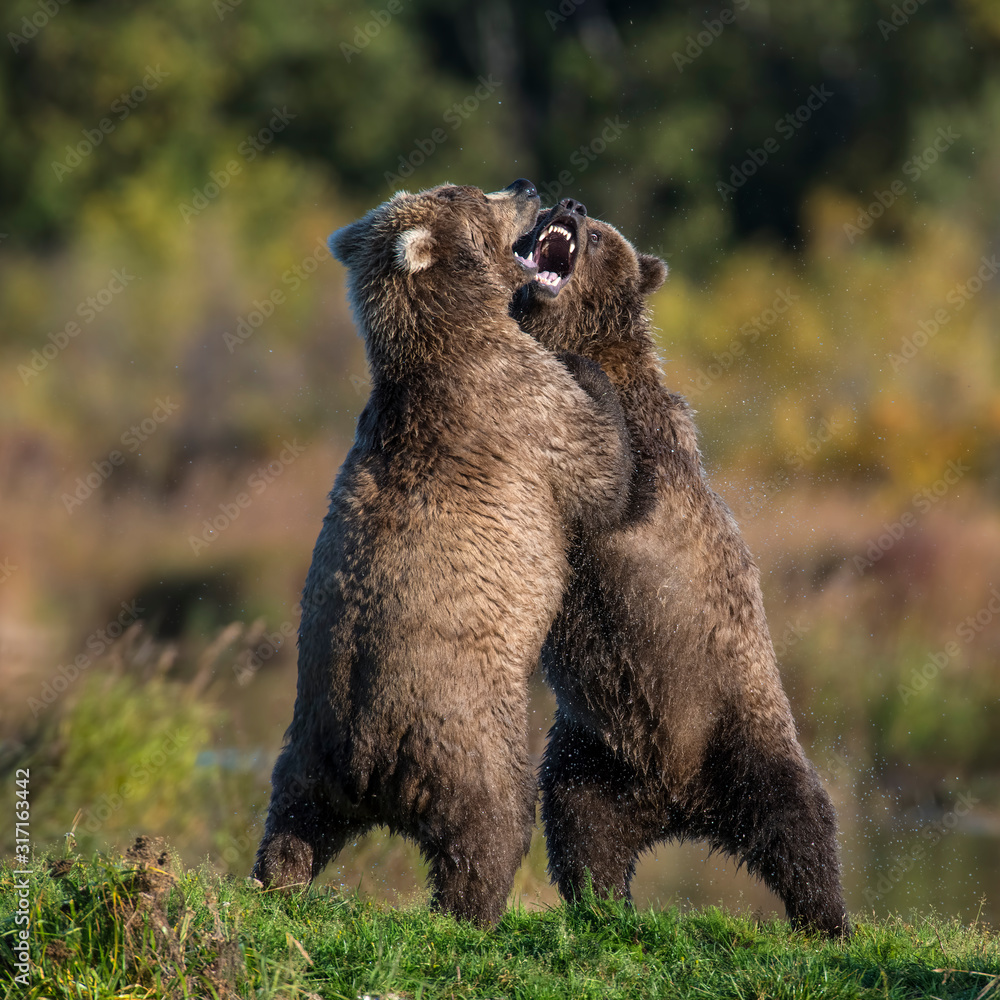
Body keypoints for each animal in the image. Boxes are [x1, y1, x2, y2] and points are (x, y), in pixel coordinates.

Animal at [252, 180, 638, 927]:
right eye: (472, 195)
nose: (528, 185)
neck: (448, 336)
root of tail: (368, 756)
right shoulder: (524, 406)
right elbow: (601, 466)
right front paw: (594, 371)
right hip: (467, 736)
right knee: (491, 829)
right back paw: (477, 911)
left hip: (309, 745)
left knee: (292, 824)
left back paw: (275, 882)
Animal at [510, 198, 850, 937]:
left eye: (599, 235)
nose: (569, 204)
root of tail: (680, 802)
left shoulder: (649, 450)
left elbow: (614, 490)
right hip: (595, 755)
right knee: (582, 827)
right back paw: (601, 903)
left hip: (738, 721)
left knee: (799, 819)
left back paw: (827, 920)